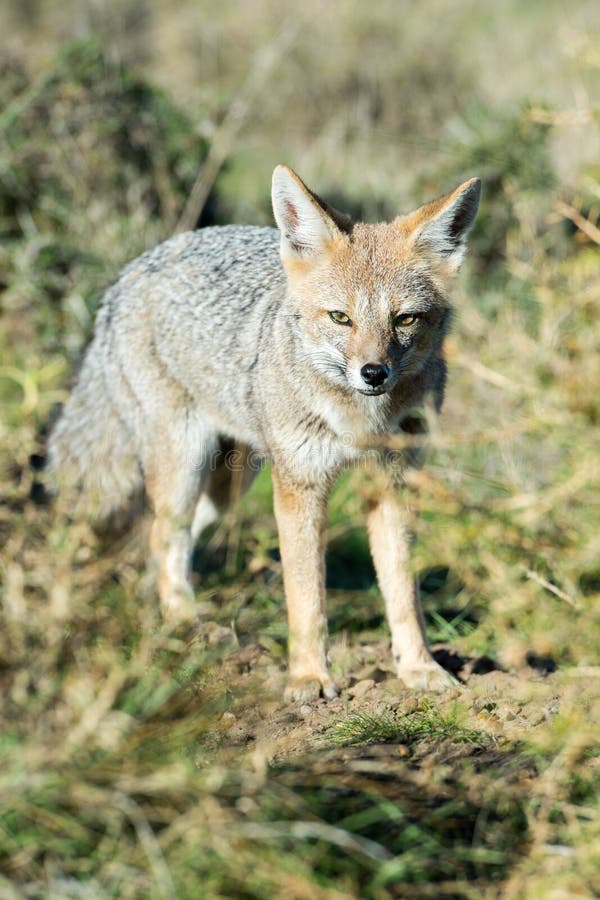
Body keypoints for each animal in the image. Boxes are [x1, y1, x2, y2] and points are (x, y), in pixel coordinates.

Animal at [48, 165, 481, 702]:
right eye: (341, 318)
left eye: (404, 319)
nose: (373, 373)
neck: (358, 421)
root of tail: (133, 269)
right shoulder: (300, 486)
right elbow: (306, 596)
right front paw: (309, 677)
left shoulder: (394, 485)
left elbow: (403, 591)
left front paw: (419, 667)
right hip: (185, 467)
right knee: (162, 535)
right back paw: (183, 627)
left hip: (227, 486)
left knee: (164, 538)